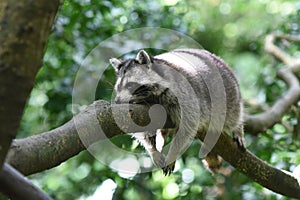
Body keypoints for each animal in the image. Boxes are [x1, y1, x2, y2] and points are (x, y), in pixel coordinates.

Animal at [110, 48, 246, 175]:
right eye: (118, 87)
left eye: (130, 85)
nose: (117, 102)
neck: (150, 96)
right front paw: (152, 150)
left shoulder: (184, 94)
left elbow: (188, 124)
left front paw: (173, 153)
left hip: (228, 94)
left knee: (232, 115)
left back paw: (238, 128)